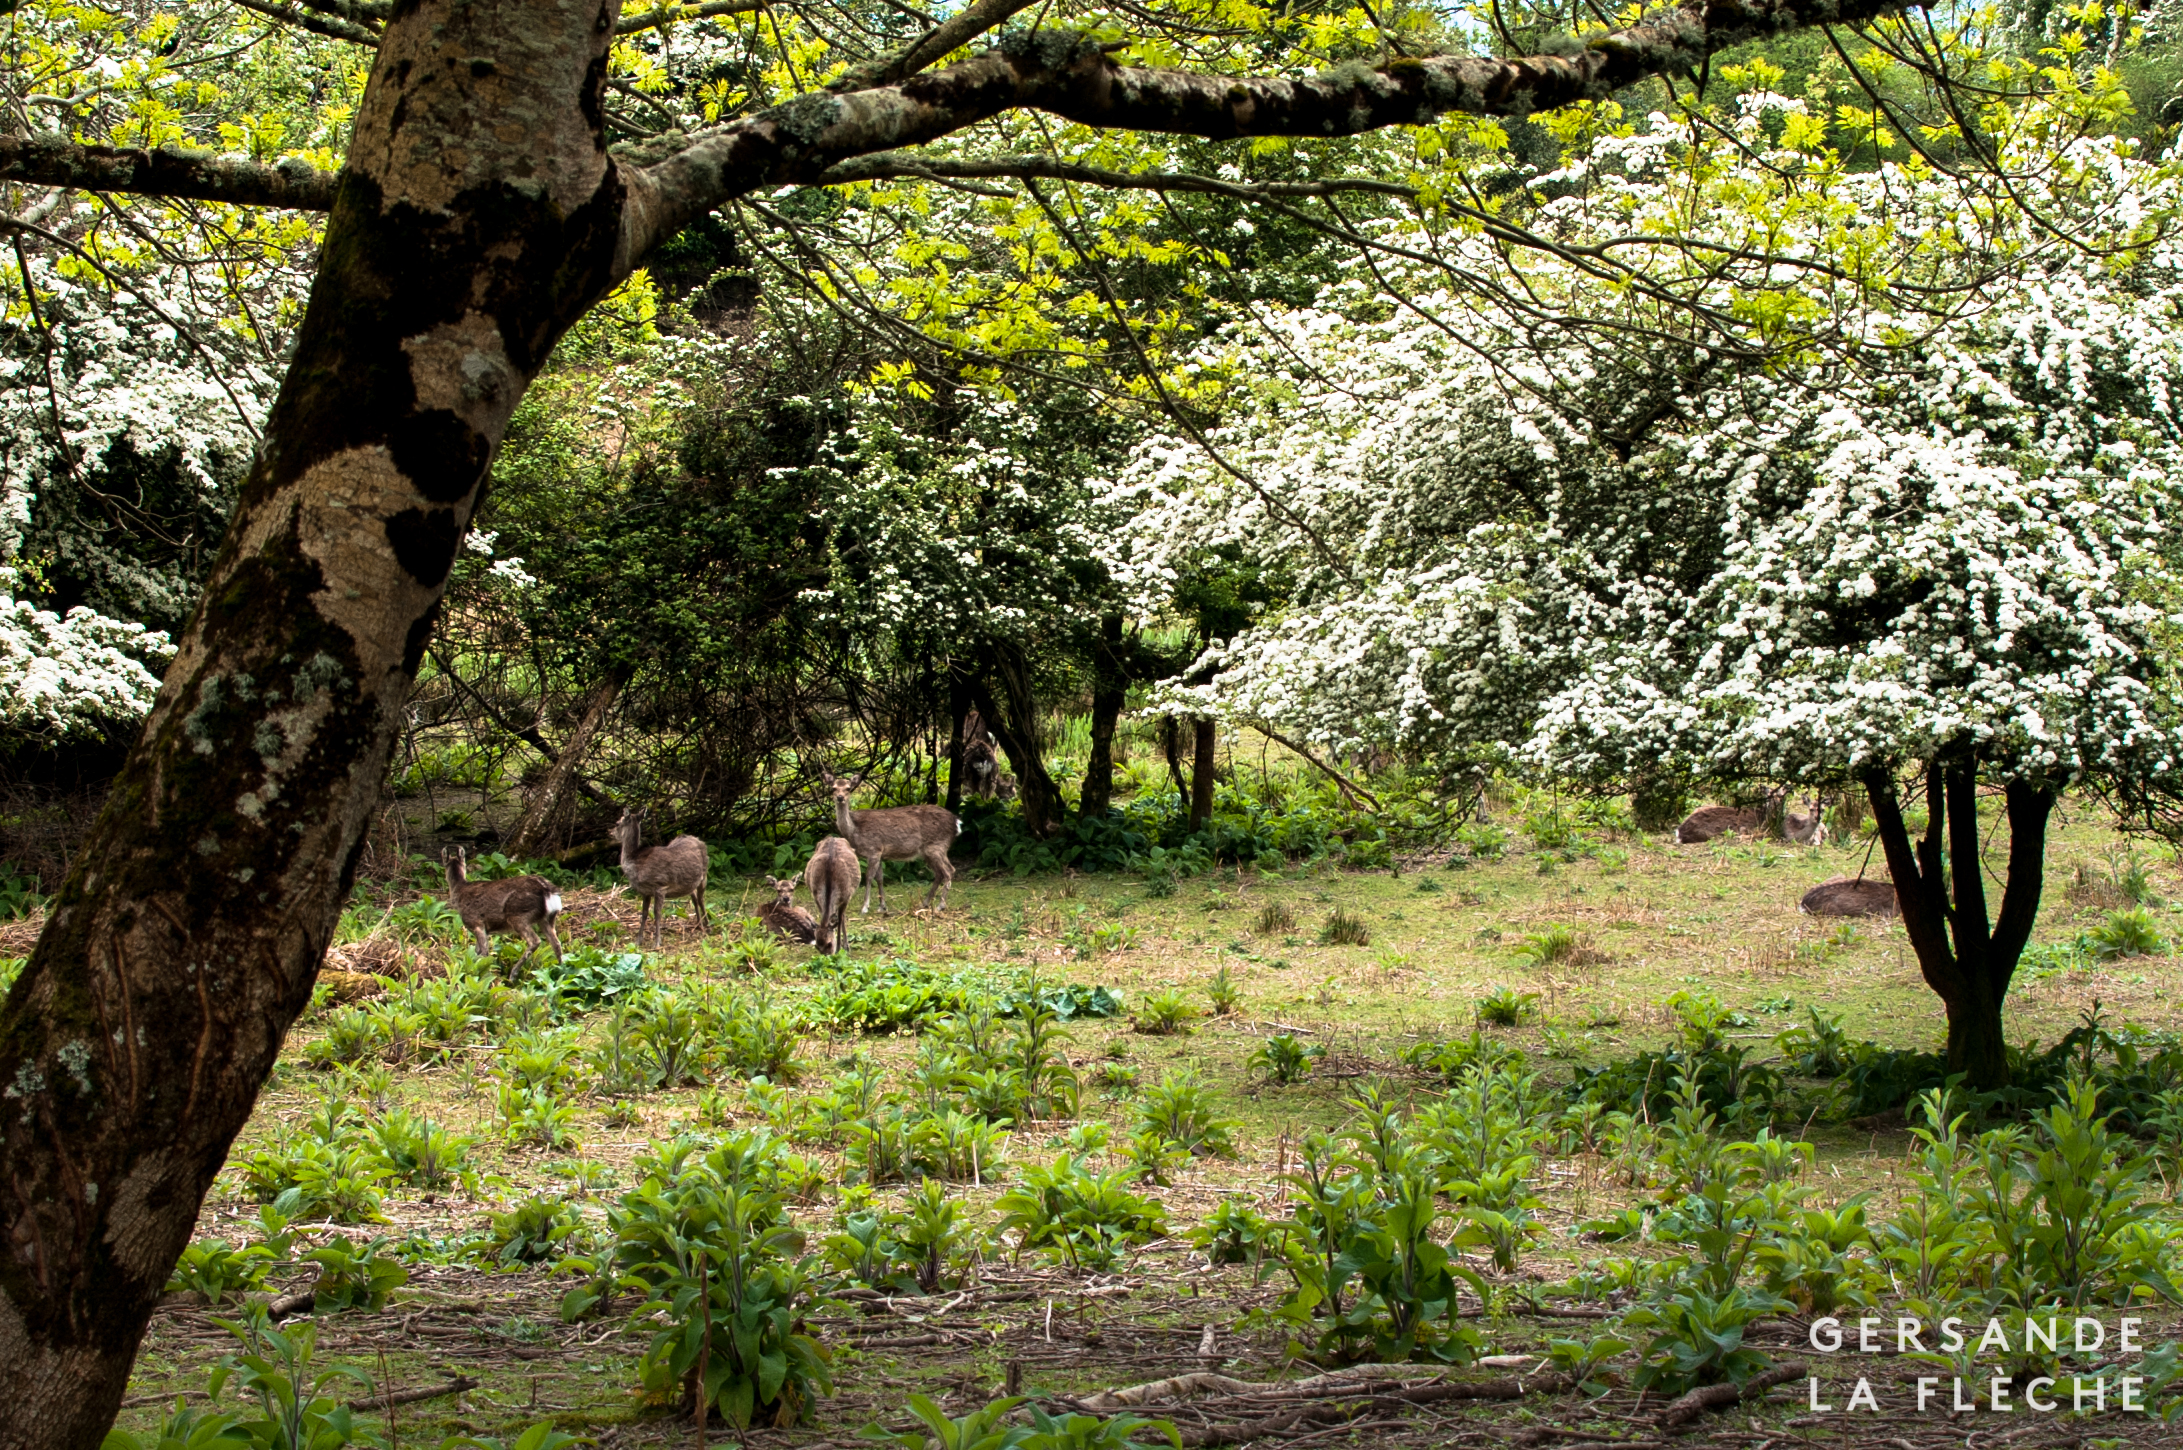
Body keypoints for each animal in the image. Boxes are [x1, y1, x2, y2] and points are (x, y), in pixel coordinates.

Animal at [615, 803, 716, 952]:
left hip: (704, 875)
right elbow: (644, 913)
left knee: (701, 899)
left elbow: (657, 913)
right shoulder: (645, 892)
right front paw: (638, 940)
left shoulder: (660, 886)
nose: (610, 832)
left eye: (617, 823)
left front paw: (657, 942)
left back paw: (707, 926)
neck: (637, 865)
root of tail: (697, 839)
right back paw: (698, 924)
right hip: (689, 882)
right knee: (694, 897)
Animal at [816, 764, 960, 912]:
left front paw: (865, 907)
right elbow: (880, 878)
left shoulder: (874, 849)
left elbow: (868, 877)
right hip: (928, 852)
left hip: (937, 846)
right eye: (833, 788)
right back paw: (924, 903)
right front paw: (882, 906)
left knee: (949, 871)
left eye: (848, 788)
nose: (840, 797)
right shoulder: (881, 853)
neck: (855, 830)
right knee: (939, 873)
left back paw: (940, 905)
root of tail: (956, 823)